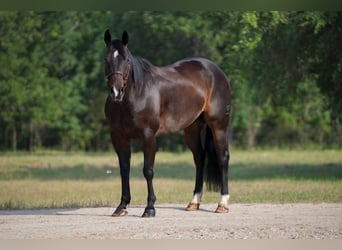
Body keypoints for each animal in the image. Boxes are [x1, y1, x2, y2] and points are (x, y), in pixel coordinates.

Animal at [103, 29, 232, 217]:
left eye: (126, 60)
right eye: (106, 59)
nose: (116, 91)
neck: (136, 94)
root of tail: (216, 71)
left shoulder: (148, 136)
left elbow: (148, 170)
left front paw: (150, 208)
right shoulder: (119, 137)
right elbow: (124, 170)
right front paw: (122, 206)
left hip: (219, 126)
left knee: (223, 158)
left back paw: (222, 203)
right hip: (192, 129)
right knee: (200, 158)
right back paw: (194, 202)